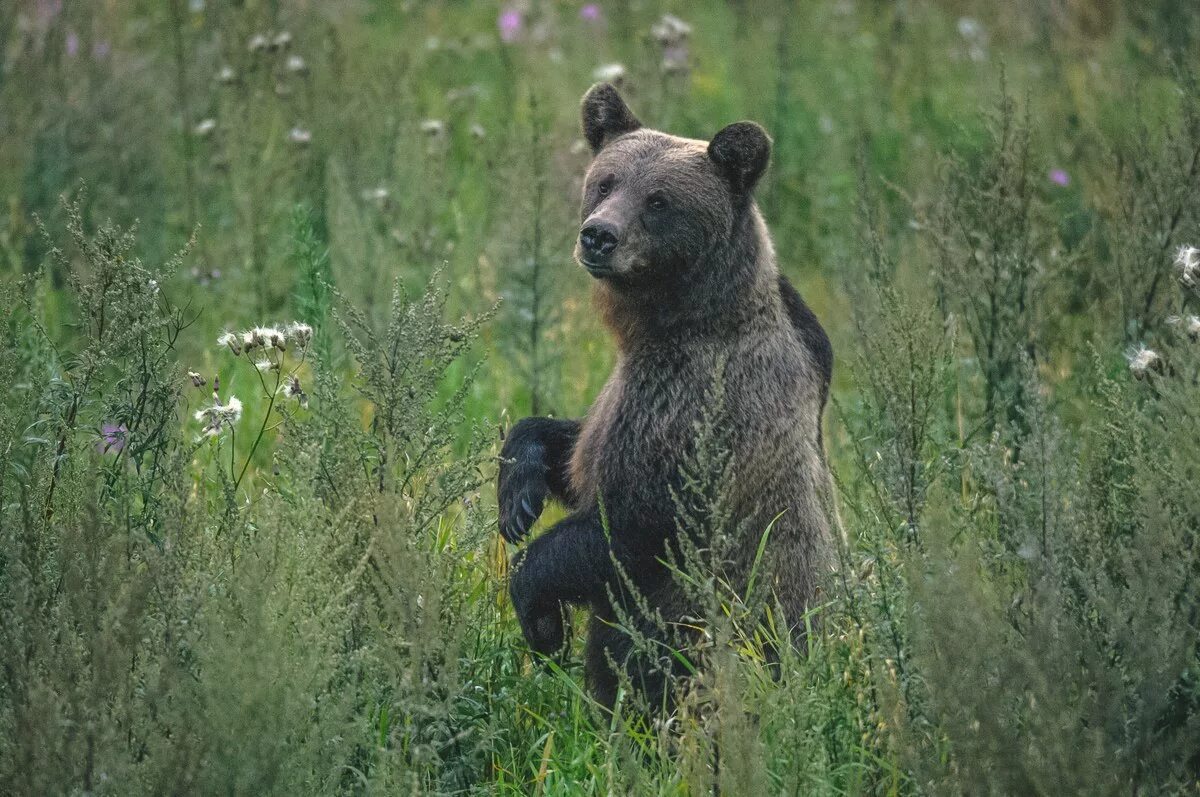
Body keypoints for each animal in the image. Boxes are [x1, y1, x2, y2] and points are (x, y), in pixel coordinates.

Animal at [496, 82, 835, 710]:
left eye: (658, 201)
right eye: (605, 182)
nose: (598, 235)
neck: (669, 322)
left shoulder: (695, 405)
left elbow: (633, 523)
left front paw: (540, 617)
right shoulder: (625, 399)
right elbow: (573, 450)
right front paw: (519, 495)